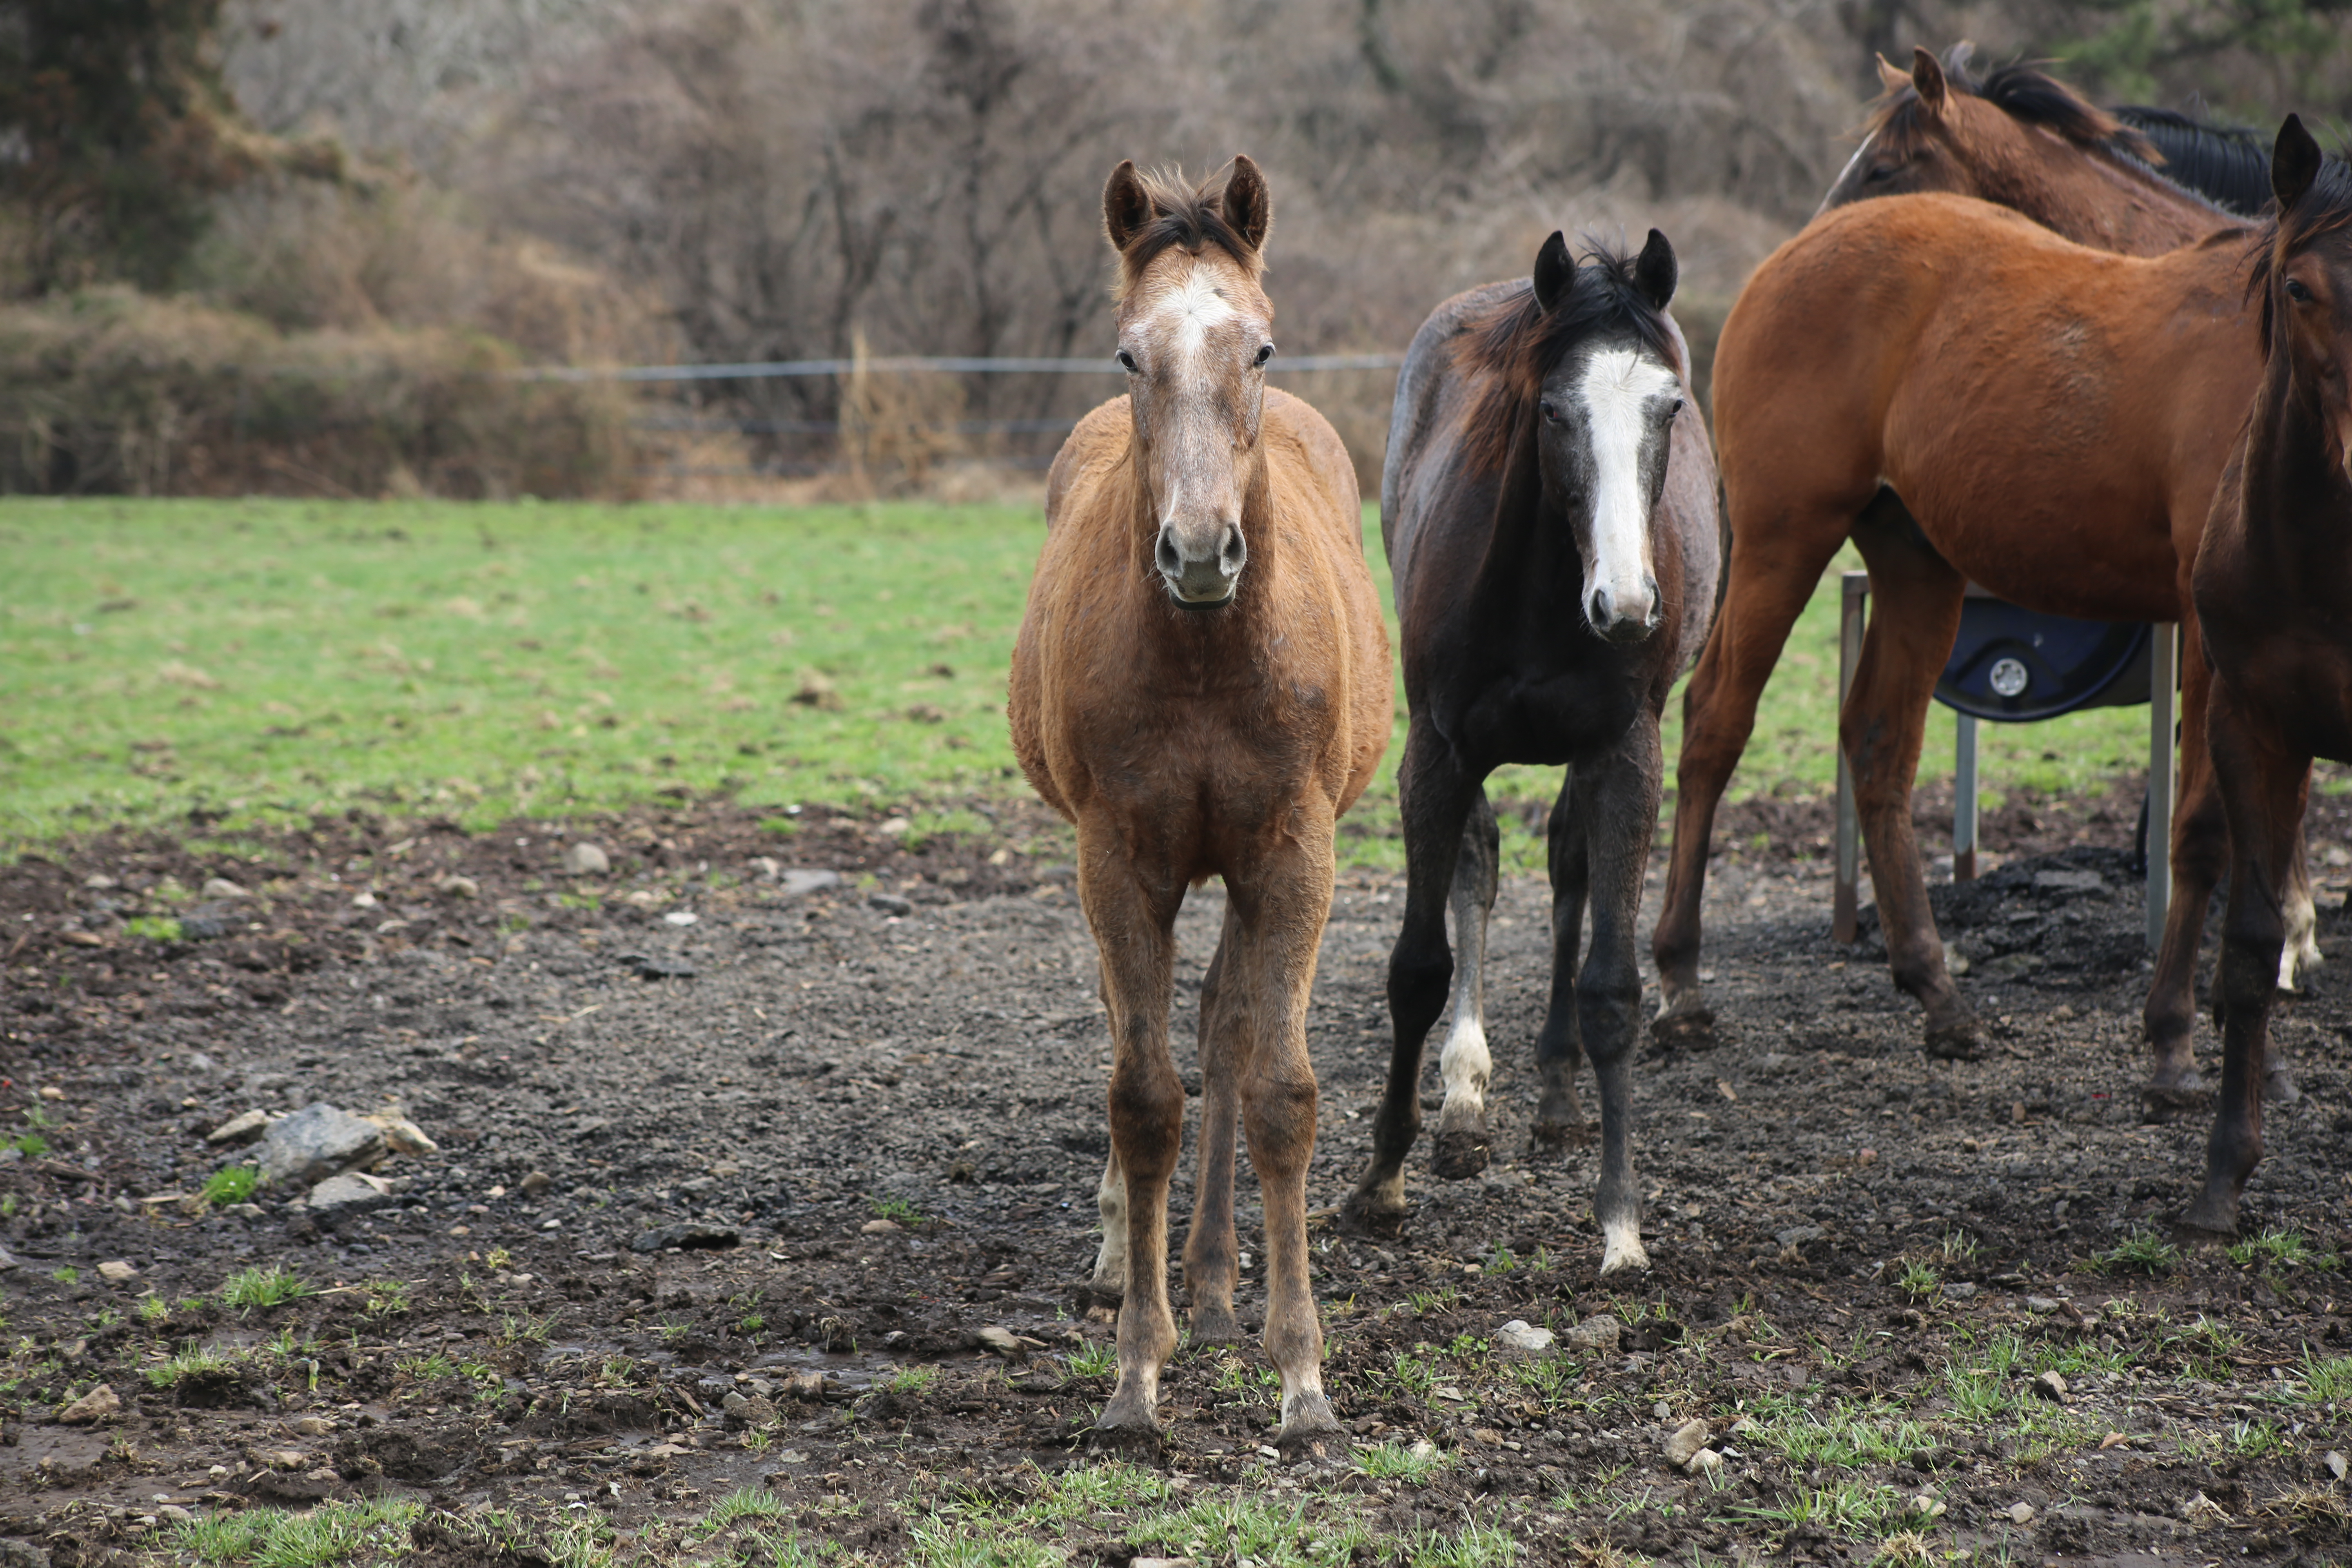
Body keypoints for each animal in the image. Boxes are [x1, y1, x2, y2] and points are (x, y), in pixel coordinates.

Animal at [1002, 160, 1383, 1448]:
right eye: (1129, 355)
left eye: (1258, 346)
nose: (1202, 550)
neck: (1211, 656)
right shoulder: (1120, 859)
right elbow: (1141, 1095)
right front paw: (1135, 1369)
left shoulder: (1293, 854)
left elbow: (1276, 1089)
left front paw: (1301, 1375)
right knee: (1151, 1029)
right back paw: (1135, 1259)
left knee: (1222, 1023)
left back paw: (1217, 1282)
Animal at [1345, 227, 1731, 1278]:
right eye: (1553, 409)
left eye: (1668, 406)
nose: (1626, 606)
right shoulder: (1436, 752)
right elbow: (1419, 966)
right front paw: (1381, 1180)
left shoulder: (1624, 756)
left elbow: (1611, 986)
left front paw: (1621, 1221)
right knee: (1479, 867)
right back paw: (1464, 1103)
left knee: (1565, 872)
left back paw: (1555, 1099)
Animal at [1656, 46, 2314, 1105]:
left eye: (1885, 164)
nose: (1818, 215)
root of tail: (1783, 273)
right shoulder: (2219, 639)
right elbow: (2209, 825)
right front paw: (2195, 1028)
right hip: (1780, 541)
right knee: (1715, 719)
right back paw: (1677, 982)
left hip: (1916, 567)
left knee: (1876, 743)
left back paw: (1936, 992)